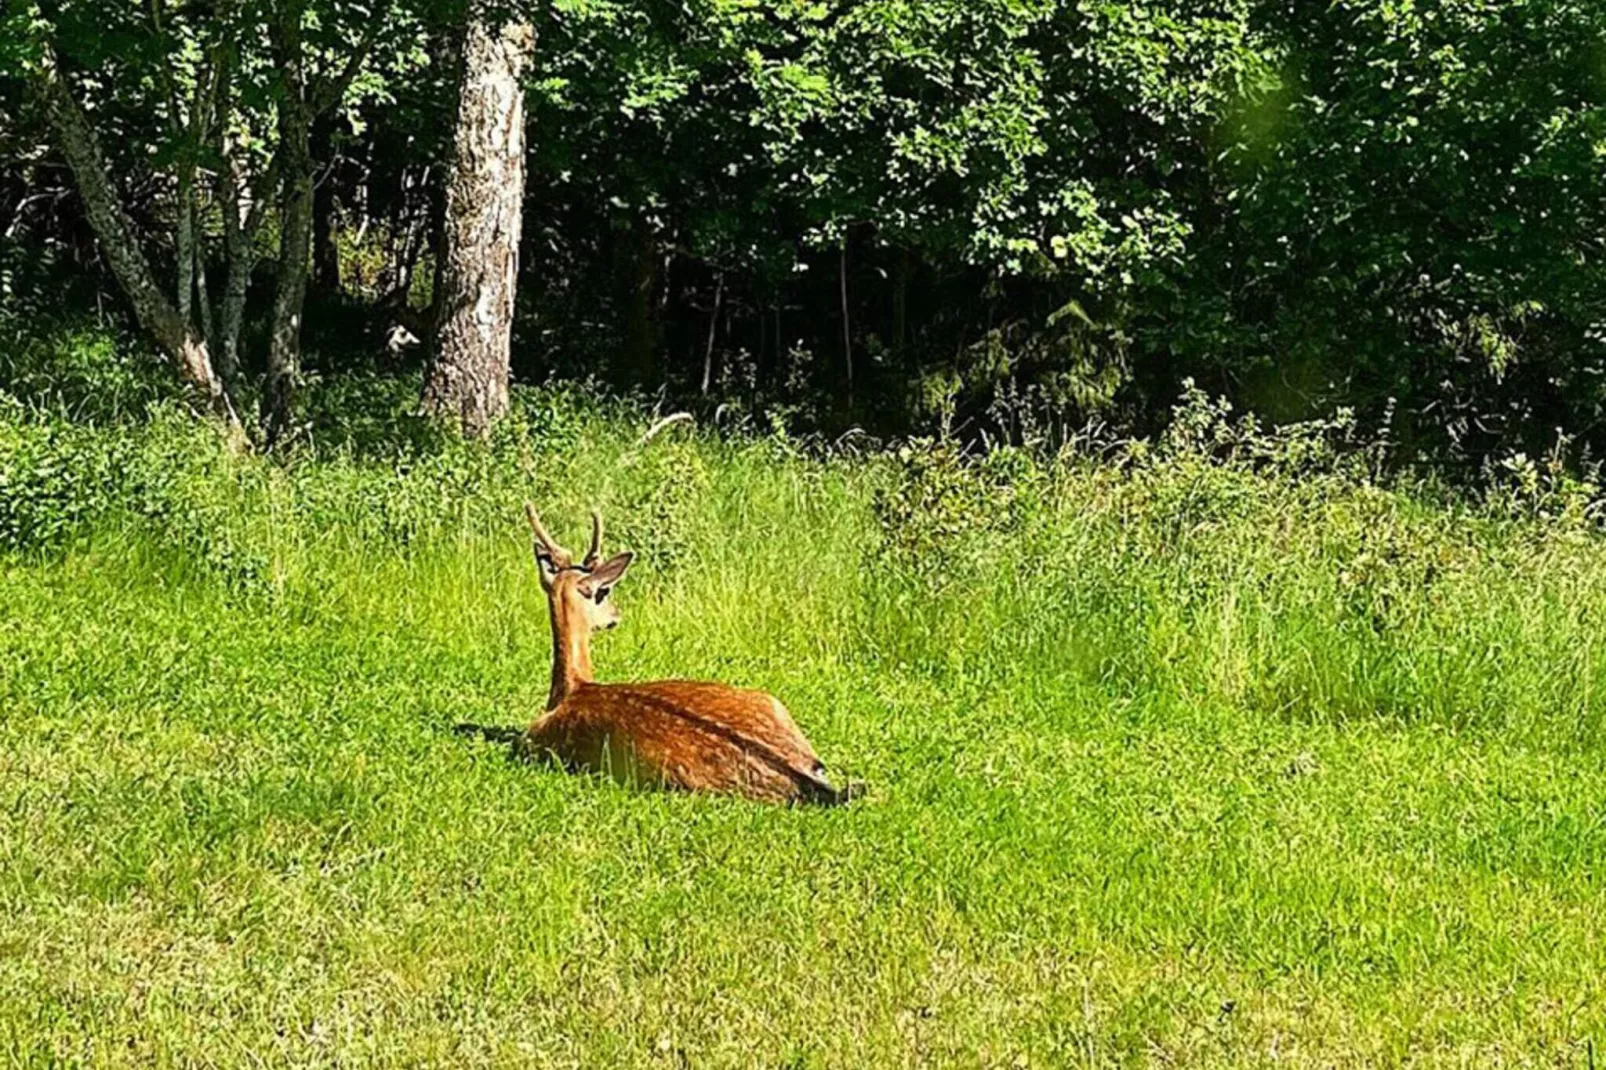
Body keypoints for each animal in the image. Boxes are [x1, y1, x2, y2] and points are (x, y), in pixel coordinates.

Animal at [520, 504, 860, 803]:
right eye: (605, 594)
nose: (616, 615)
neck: (572, 689)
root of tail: (805, 776)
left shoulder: (533, 743)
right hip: (771, 702)